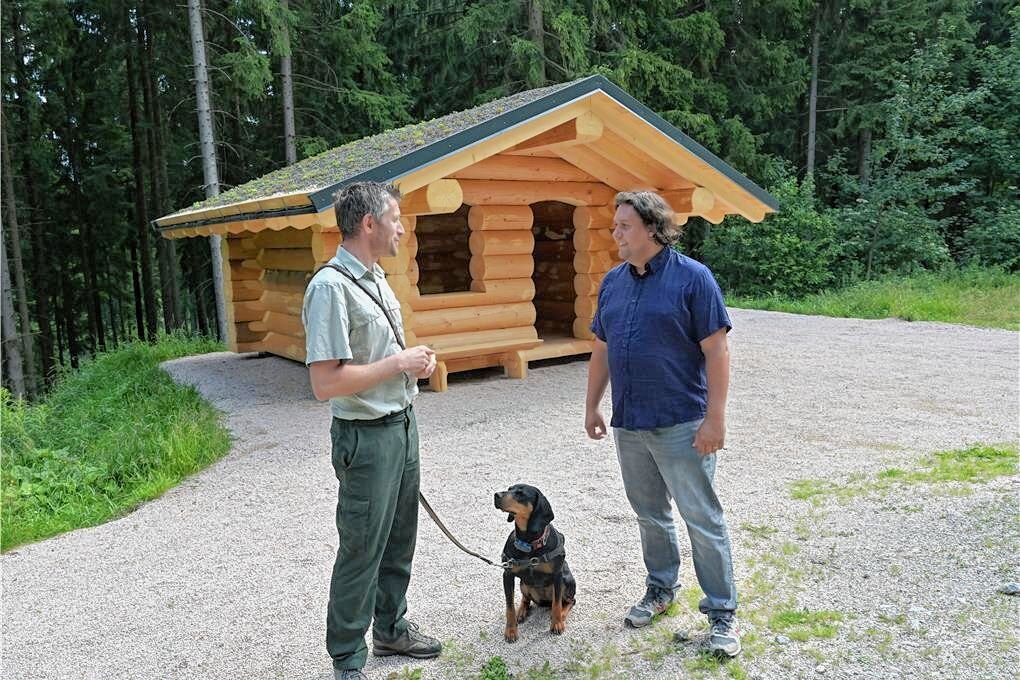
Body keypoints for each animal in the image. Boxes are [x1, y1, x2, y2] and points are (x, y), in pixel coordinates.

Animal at [495, 483, 579, 644]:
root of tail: (543, 601)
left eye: (521, 493)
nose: (496, 495)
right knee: (526, 598)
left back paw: (561, 615)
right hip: (523, 583)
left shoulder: (557, 574)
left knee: (569, 601)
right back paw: (521, 612)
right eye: (509, 489)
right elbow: (509, 606)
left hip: (566, 581)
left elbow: (557, 604)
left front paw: (557, 624)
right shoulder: (507, 574)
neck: (529, 542)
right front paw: (511, 631)